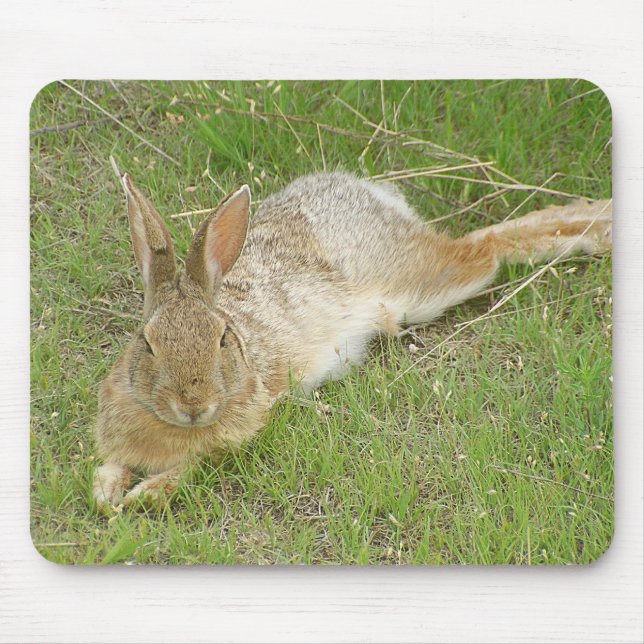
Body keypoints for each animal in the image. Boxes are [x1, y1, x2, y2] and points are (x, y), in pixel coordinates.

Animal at [93, 165, 612, 507]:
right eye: (146, 342)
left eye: (222, 338)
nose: (194, 406)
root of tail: (368, 192)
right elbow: (108, 471)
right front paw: (109, 494)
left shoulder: (236, 437)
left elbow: (187, 471)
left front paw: (142, 495)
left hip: (423, 285)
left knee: (487, 246)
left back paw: (596, 225)